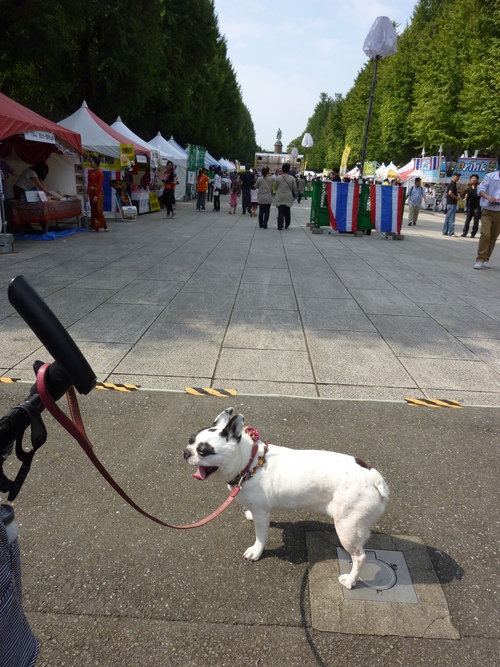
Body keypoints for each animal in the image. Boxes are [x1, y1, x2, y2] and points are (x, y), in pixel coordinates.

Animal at [185, 408, 390, 588]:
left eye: (203, 451)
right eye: (190, 441)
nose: (186, 452)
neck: (249, 462)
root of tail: (374, 477)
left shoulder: (262, 513)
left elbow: (261, 536)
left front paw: (256, 551)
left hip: (347, 526)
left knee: (360, 556)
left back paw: (350, 580)